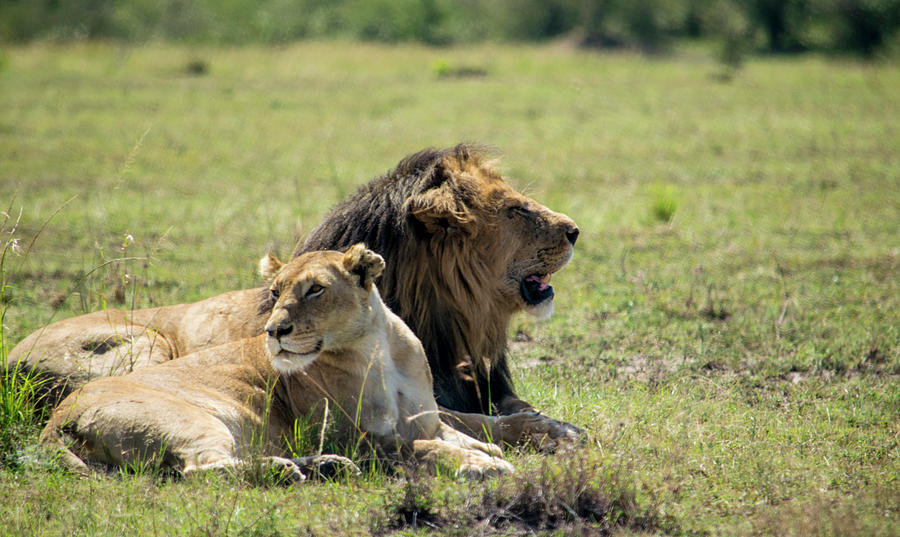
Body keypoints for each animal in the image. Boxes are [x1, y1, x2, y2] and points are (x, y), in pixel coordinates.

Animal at [14, 142, 584, 448]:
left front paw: (554, 421)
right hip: (143, 347)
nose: (576, 230)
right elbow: (486, 422)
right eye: (515, 210)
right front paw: (553, 433)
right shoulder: (430, 405)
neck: (456, 322)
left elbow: (512, 407)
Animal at [40, 245, 512, 480]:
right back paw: (289, 471)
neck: (378, 350)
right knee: (201, 470)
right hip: (194, 420)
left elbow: (453, 434)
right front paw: (483, 465)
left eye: (315, 289)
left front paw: (485, 449)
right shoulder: (357, 438)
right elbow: (422, 448)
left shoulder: (424, 419)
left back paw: (323, 467)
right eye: (275, 291)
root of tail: (57, 417)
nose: (274, 330)